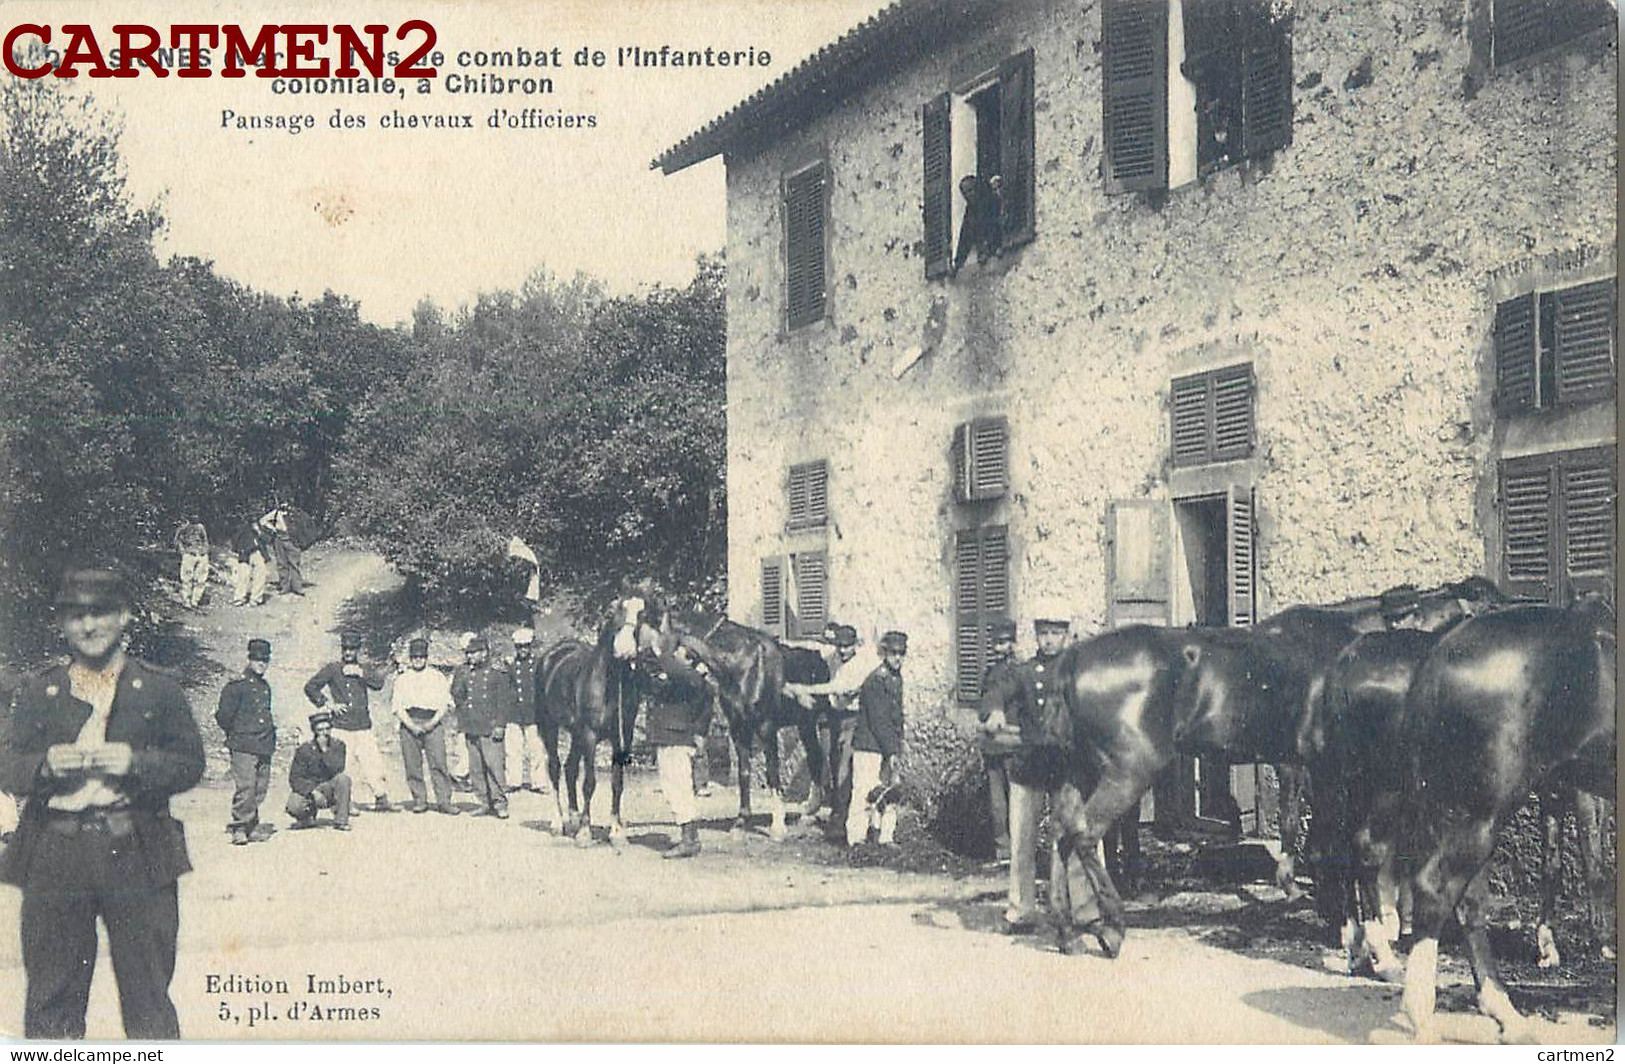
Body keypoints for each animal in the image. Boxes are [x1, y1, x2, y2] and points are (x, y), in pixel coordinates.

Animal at [539, 594, 653, 844]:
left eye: (642, 613)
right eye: (616, 610)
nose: (624, 649)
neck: (609, 681)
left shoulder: (622, 737)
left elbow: (617, 783)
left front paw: (616, 832)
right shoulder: (590, 735)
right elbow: (589, 783)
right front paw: (585, 832)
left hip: (576, 734)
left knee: (570, 768)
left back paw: (573, 819)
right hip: (549, 727)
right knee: (554, 768)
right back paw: (558, 823)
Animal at [1397, 604, 1612, 1046]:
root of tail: (1439, 654)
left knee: (1467, 903)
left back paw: (1505, 1013)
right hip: (1482, 809)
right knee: (1438, 891)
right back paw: (1422, 1016)